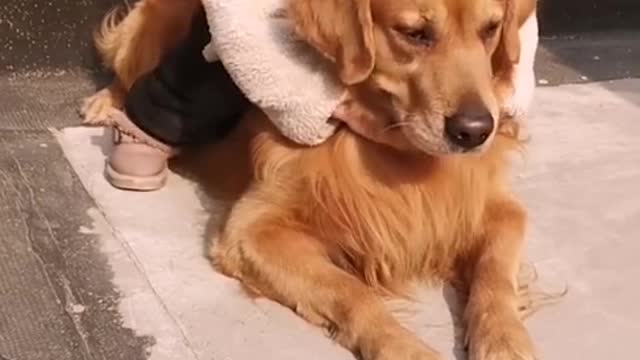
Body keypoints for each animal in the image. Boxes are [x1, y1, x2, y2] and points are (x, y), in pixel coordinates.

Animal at [86, 0, 544, 358]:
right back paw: (109, 108)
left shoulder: (498, 207)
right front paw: (404, 347)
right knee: (129, 70)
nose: (475, 131)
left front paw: (504, 338)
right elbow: (352, 291)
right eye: (414, 34)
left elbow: (495, 274)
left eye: (490, 30)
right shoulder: (254, 229)